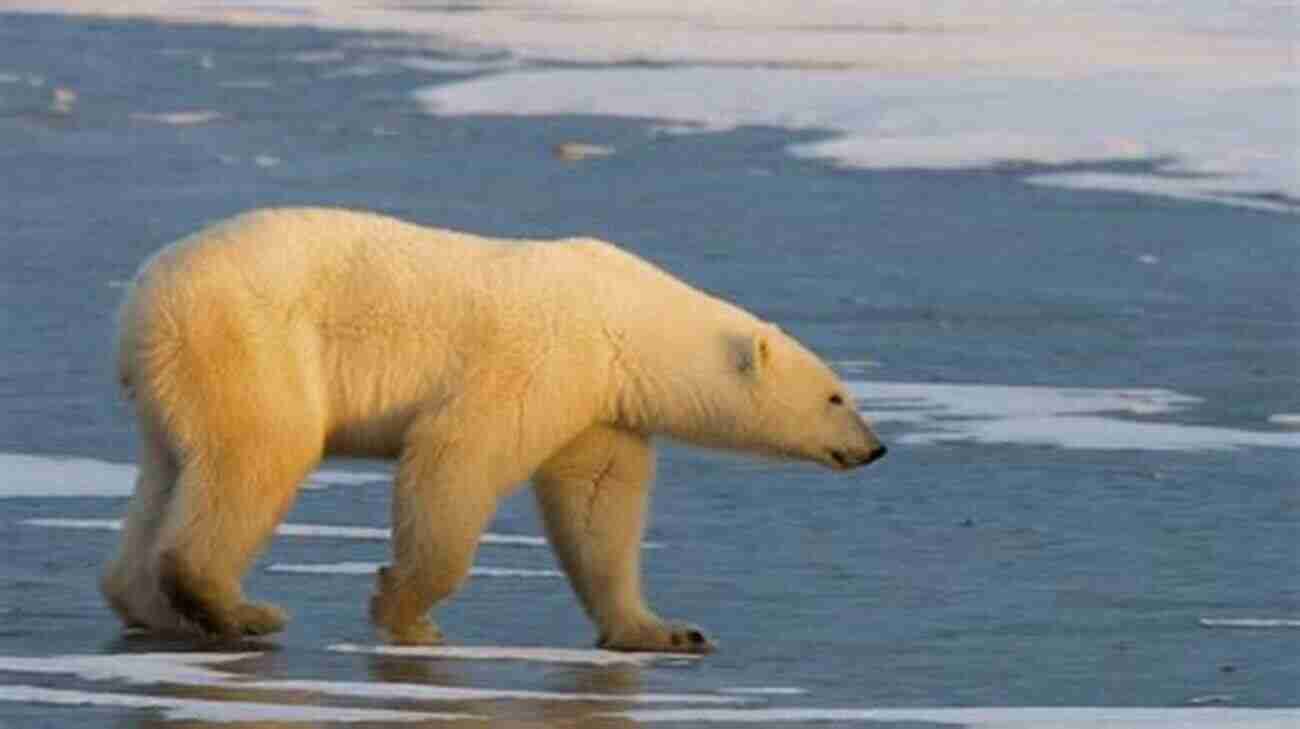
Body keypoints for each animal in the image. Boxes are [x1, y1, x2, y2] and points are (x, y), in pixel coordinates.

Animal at [104, 207, 883, 649]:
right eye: (837, 396)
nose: (874, 448)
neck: (623, 318)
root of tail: (144, 295)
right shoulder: (542, 357)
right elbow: (457, 456)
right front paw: (405, 607)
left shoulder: (600, 403)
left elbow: (599, 503)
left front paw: (664, 629)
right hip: (251, 338)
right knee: (263, 452)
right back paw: (239, 609)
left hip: (177, 374)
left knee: (173, 470)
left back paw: (151, 605)